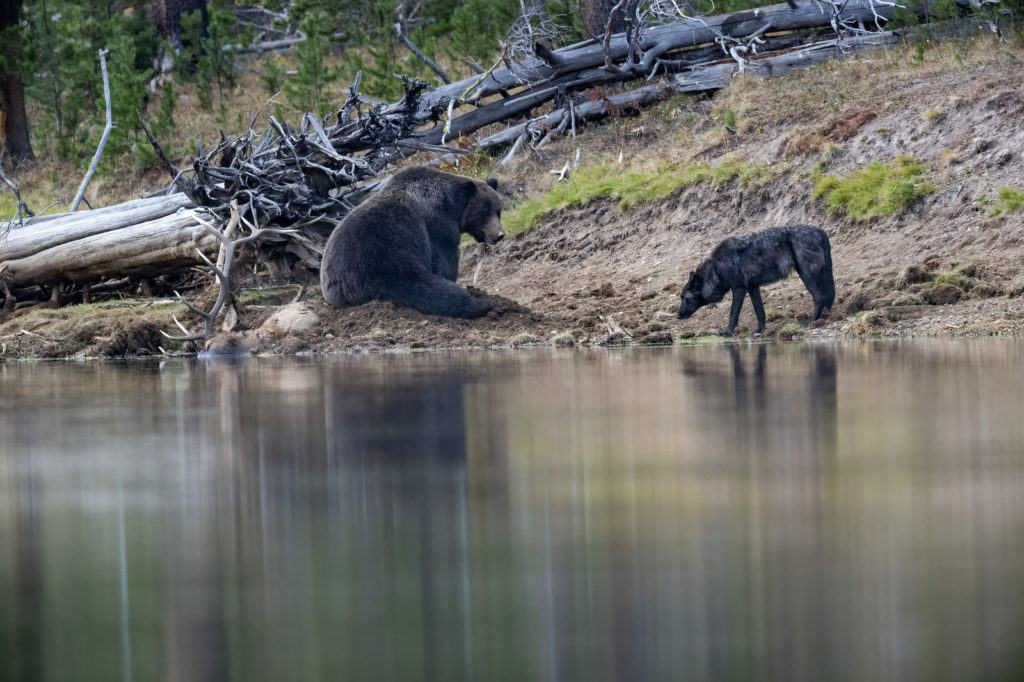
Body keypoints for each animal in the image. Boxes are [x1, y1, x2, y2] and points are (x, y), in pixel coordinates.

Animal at [319, 165, 503, 317]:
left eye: (498, 211)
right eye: (484, 212)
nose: (500, 235)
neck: (450, 205)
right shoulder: (438, 225)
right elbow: (445, 260)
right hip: (378, 264)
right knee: (423, 288)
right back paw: (484, 303)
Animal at [679, 223, 831, 333]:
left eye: (685, 298)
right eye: (681, 298)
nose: (677, 316)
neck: (716, 268)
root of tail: (820, 231)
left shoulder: (739, 289)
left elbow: (733, 314)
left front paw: (727, 332)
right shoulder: (753, 287)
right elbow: (759, 311)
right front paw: (760, 330)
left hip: (806, 275)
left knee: (820, 298)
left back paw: (812, 322)